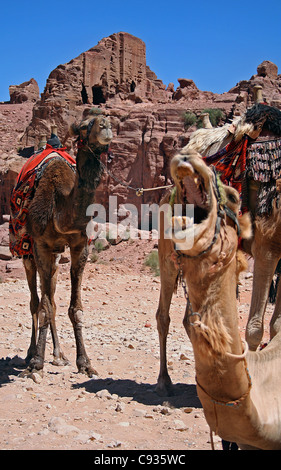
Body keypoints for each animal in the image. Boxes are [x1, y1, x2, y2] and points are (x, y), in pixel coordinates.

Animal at [9, 108, 112, 376]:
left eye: (107, 119)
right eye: (84, 125)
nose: (106, 125)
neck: (60, 207)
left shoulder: (79, 247)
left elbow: (75, 308)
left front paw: (84, 362)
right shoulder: (41, 247)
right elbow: (43, 306)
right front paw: (36, 362)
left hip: (55, 258)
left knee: (52, 299)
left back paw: (58, 354)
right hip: (27, 253)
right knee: (36, 301)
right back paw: (31, 353)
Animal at [156, 149, 280, 450]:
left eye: (235, 197)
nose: (187, 155)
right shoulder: (269, 239)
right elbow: (256, 326)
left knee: (186, 320)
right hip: (165, 256)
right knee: (163, 316)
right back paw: (165, 381)